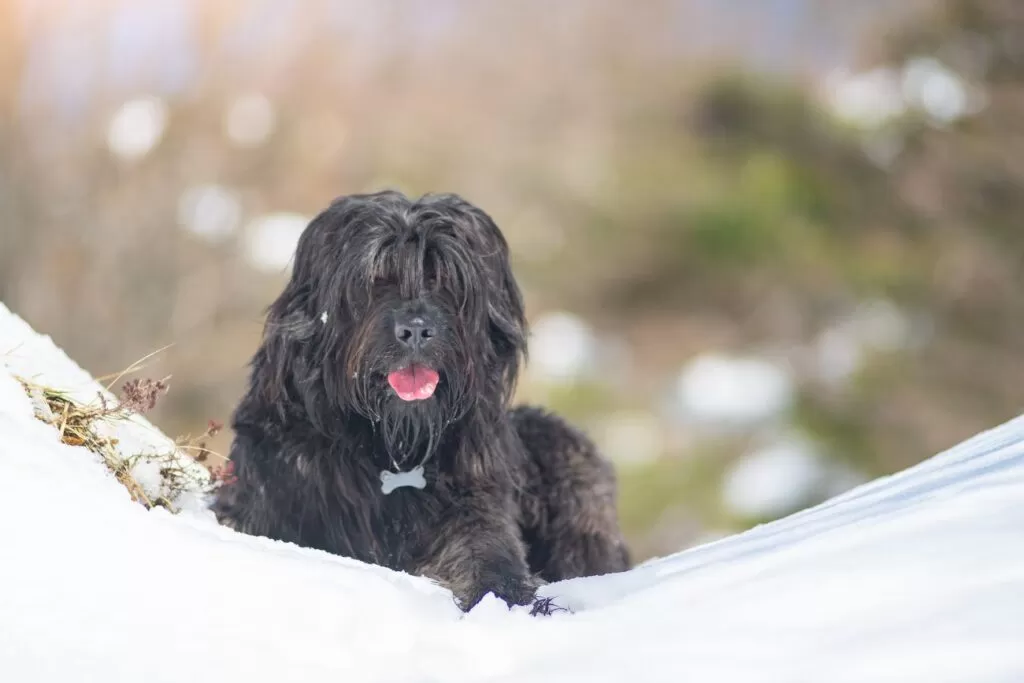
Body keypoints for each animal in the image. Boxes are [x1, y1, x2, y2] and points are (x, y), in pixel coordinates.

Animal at [214, 189, 630, 610]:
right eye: (376, 278)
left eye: (442, 278)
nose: (415, 330)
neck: (392, 450)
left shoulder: (477, 502)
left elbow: (487, 553)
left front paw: (510, 597)